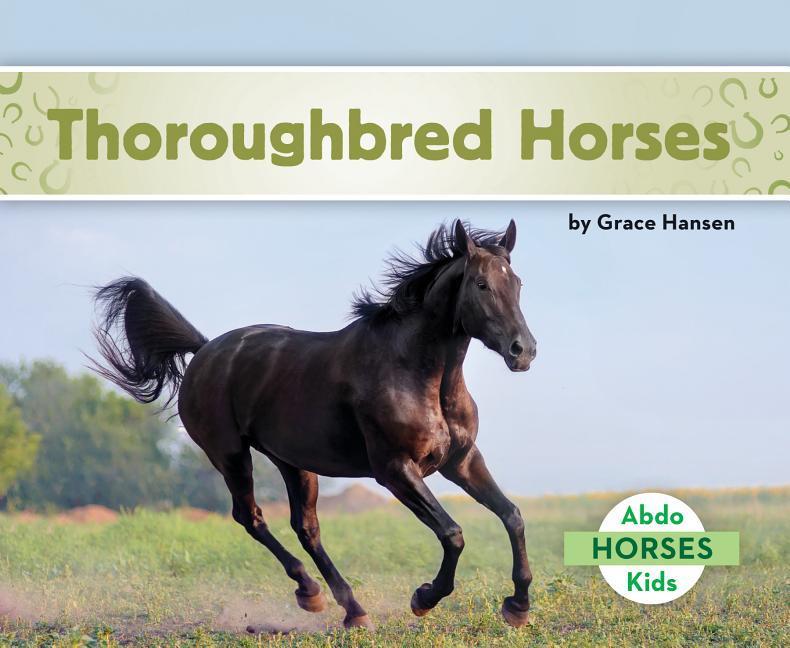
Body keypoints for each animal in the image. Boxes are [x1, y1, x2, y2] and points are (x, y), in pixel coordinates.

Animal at [91, 219, 537, 631]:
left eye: (517, 283)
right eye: (481, 284)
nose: (524, 350)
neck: (414, 371)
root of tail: (204, 351)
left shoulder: (461, 461)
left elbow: (512, 515)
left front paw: (517, 606)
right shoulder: (395, 470)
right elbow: (452, 533)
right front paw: (424, 597)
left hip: (293, 462)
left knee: (305, 528)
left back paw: (350, 609)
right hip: (230, 454)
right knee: (250, 516)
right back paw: (312, 592)